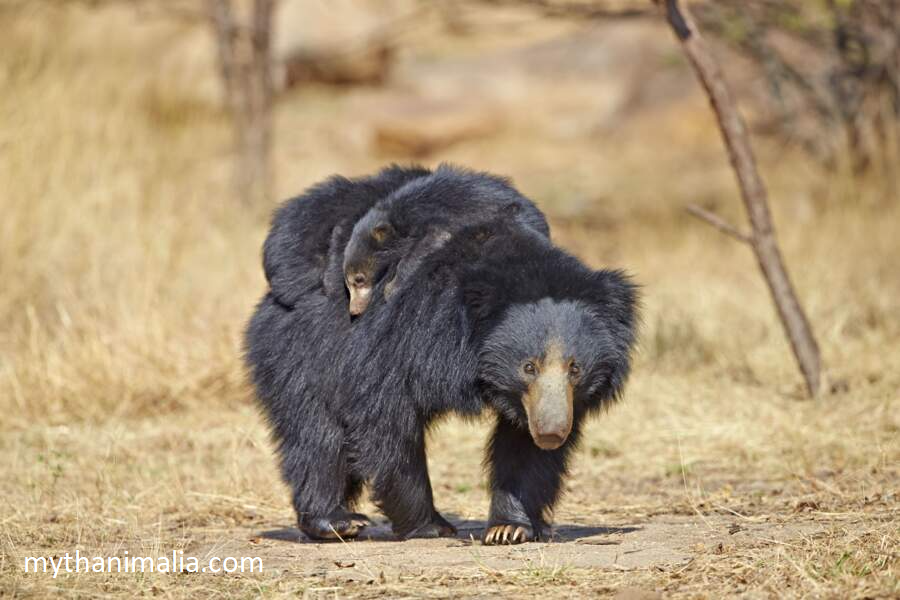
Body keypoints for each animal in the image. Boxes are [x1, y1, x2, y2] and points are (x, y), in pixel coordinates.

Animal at [340, 164, 548, 314]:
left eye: (359, 279)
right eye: (348, 284)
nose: (354, 311)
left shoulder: (430, 218)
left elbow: (432, 240)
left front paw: (391, 288)